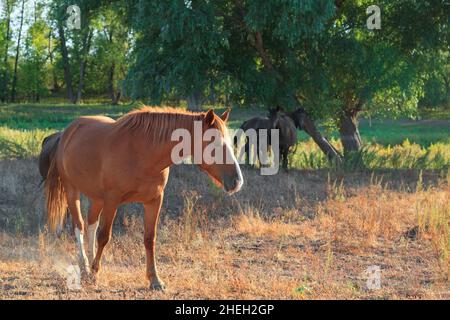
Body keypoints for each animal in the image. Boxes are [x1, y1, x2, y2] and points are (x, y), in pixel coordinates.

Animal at [44, 107, 243, 290]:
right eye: (214, 143)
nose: (237, 181)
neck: (142, 153)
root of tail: (66, 132)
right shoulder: (112, 201)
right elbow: (104, 236)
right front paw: (94, 273)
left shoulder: (154, 201)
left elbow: (149, 238)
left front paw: (155, 280)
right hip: (72, 191)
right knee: (79, 226)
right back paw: (86, 268)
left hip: (97, 198)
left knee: (91, 223)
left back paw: (90, 264)